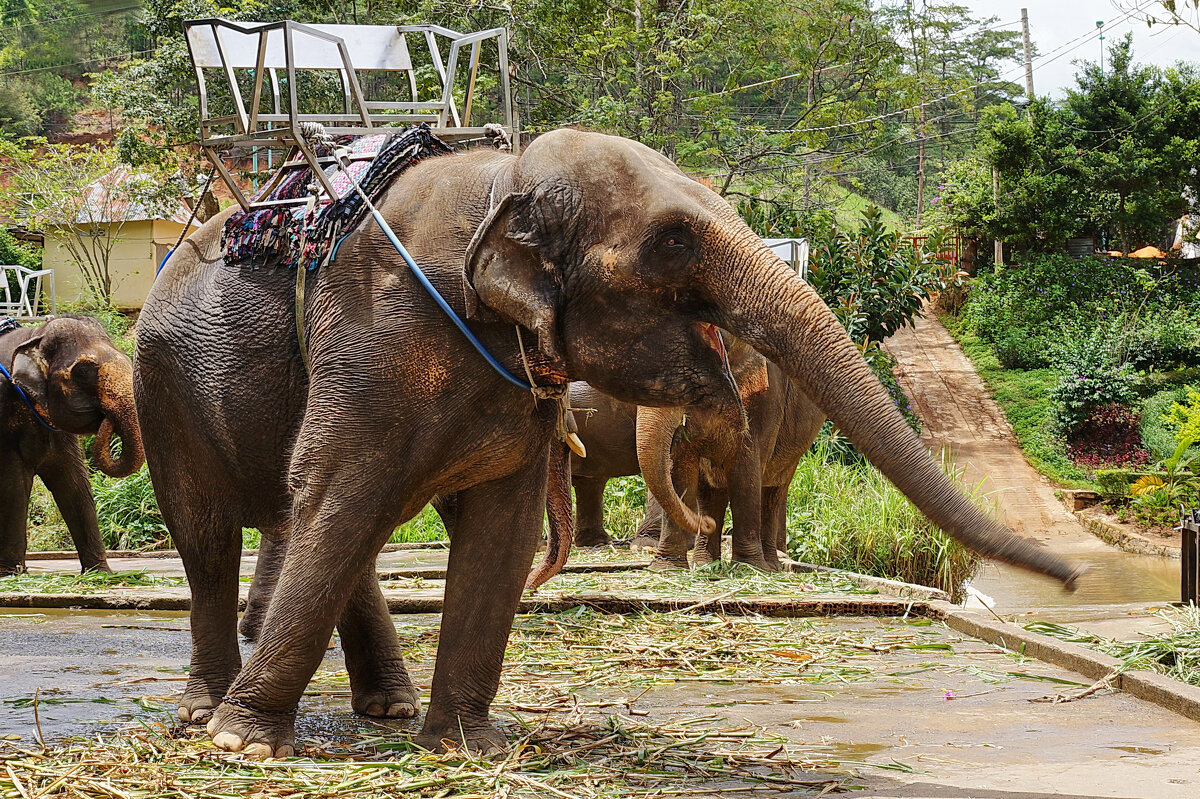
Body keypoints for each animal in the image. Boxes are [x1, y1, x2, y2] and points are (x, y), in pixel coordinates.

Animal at [1, 316, 145, 573]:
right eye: (84, 371)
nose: (107, 420)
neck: (33, 334)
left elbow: (75, 483)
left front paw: (99, 573)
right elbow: (14, 485)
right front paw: (11, 574)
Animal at [638, 333, 825, 568]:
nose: (706, 523)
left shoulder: (767, 397)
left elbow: (746, 469)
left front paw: (748, 567)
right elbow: (679, 469)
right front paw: (667, 568)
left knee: (772, 491)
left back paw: (770, 567)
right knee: (711, 492)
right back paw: (705, 563)